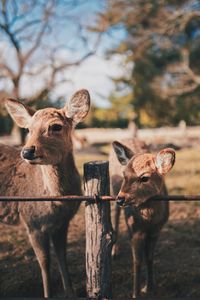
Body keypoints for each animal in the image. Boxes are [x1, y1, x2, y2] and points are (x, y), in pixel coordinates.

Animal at [0, 88, 90, 296]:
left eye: (56, 126)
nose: (27, 152)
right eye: (28, 129)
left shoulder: (63, 222)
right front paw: (48, 294)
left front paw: (70, 293)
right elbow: (44, 263)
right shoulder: (31, 221)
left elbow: (62, 256)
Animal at [108, 138, 176, 298]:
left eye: (144, 177)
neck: (148, 222)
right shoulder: (134, 231)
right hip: (112, 193)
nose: (121, 198)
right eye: (124, 174)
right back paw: (114, 252)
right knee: (114, 218)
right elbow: (137, 261)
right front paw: (136, 294)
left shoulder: (156, 230)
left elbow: (149, 257)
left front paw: (150, 288)